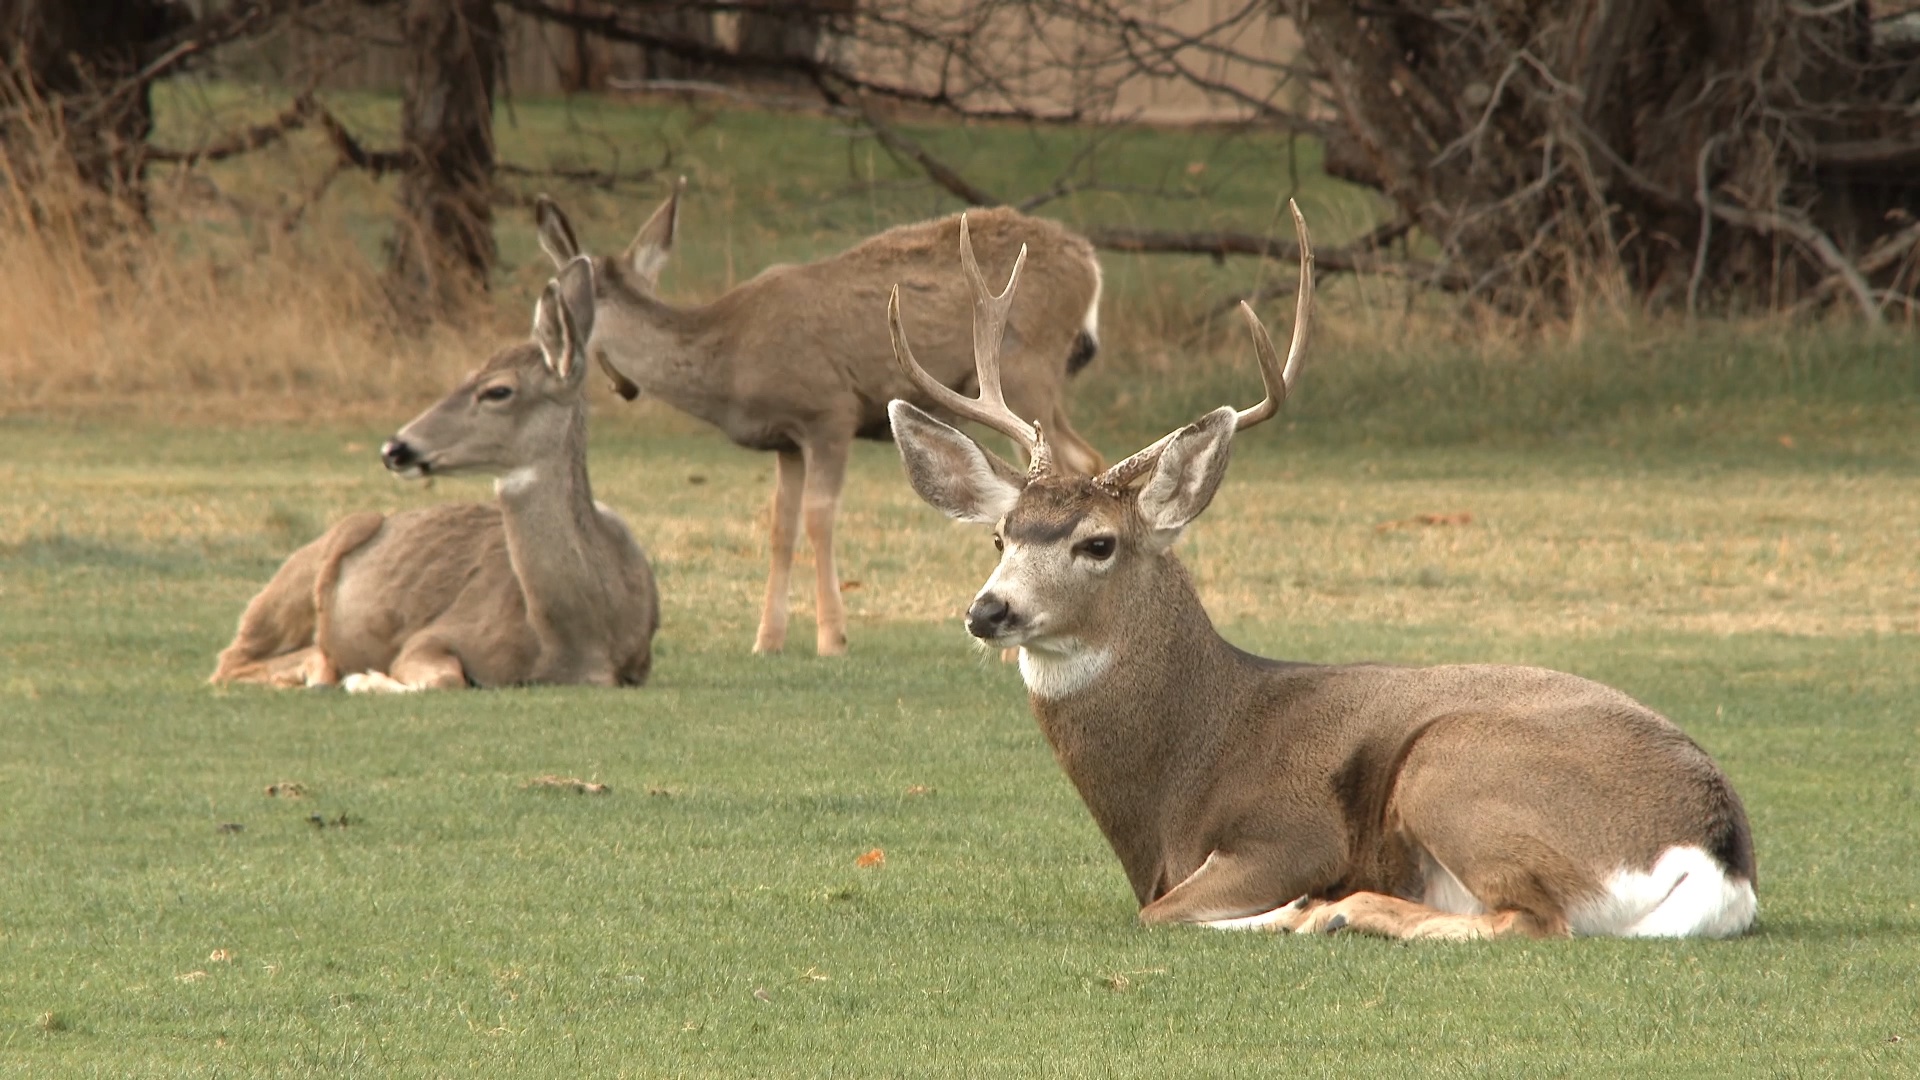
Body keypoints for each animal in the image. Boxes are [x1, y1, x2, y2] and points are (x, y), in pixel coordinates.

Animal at [210, 258, 660, 692]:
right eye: (465, 376)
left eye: (498, 390)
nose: (394, 448)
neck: (577, 636)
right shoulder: (434, 634)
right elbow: (446, 678)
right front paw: (366, 678)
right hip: (302, 570)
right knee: (230, 660)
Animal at [532, 180, 1105, 657]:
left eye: (548, 312)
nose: (545, 358)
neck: (732, 356)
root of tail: (1091, 263)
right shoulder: (786, 439)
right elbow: (780, 525)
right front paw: (767, 639)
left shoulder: (829, 410)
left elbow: (818, 517)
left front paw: (832, 638)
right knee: (1086, 456)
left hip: (1028, 368)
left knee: (1070, 461)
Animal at [882, 204, 1757, 940]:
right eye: (1000, 538)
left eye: (1097, 544)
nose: (989, 611)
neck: (1185, 764)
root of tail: (1719, 855)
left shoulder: (1287, 834)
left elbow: (1162, 912)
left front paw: (1300, 908)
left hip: (1453, 763)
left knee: (1534, 921)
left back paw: (1340, 912)